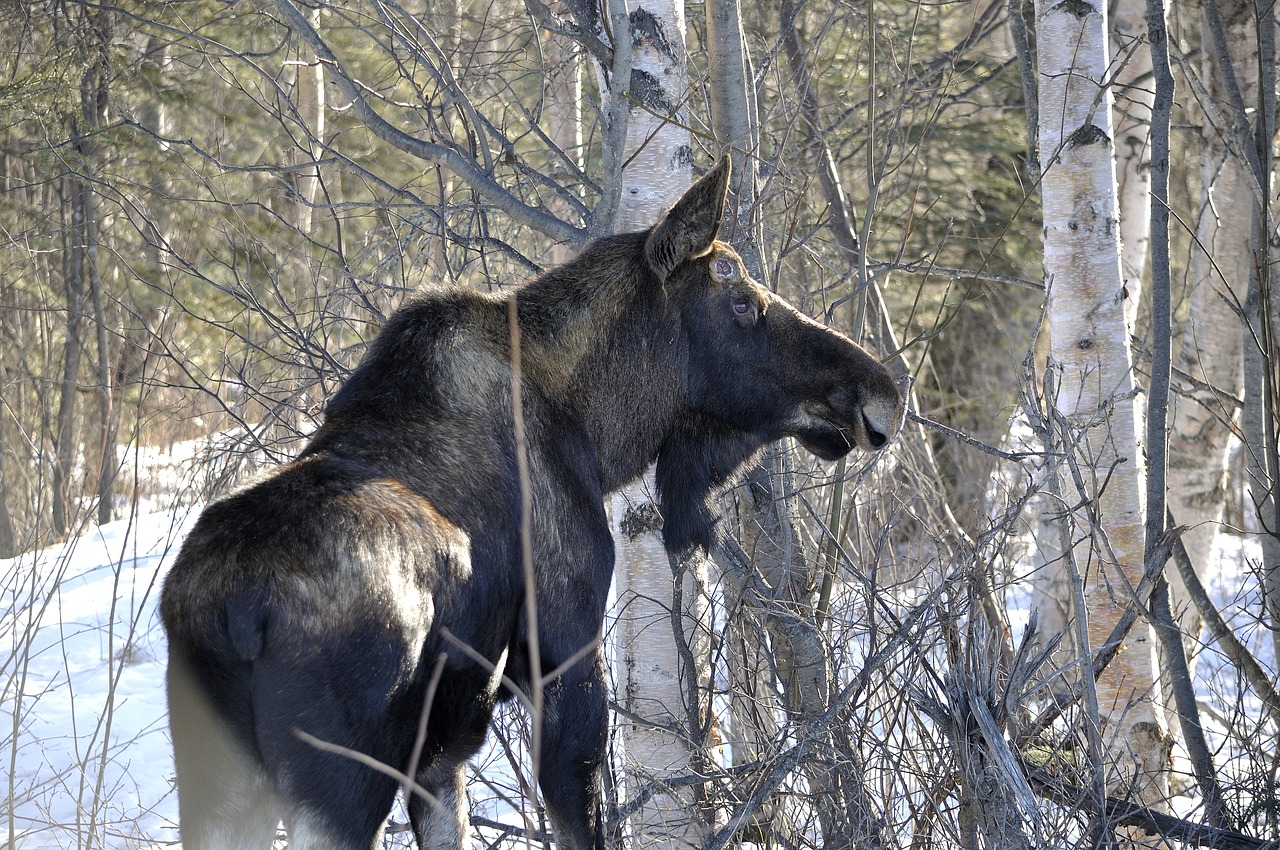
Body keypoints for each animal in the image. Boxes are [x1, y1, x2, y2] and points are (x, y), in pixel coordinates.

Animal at [160, 156, 901, 844]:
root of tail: (232, 614)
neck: (599, 430)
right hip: (340, 786)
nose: (882, 391)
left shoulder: (442, 754)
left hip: (219, 788)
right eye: (741, 302)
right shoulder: (565, 652)